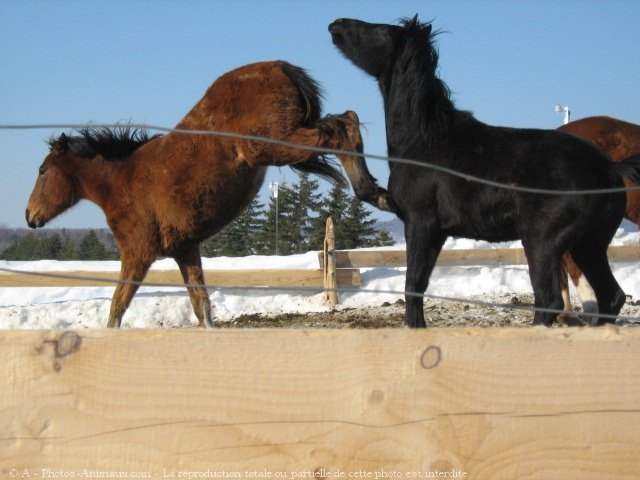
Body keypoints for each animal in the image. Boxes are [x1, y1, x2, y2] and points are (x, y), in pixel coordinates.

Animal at [25, 60, 388, 328]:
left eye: (42, 171)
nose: (30, 217)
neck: (122, 181)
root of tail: (282, 67)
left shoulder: (138, 253)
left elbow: (117, 308)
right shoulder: (185, 249)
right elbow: (202, 307)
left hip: (271, 145)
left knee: (340, 128)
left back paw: (373, 192)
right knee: (346, 120)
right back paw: (376, 191)